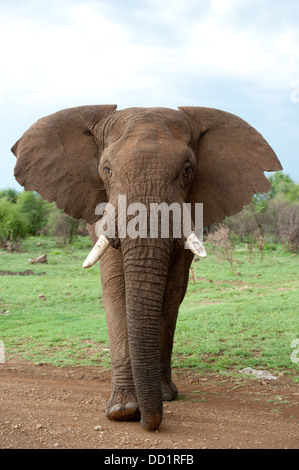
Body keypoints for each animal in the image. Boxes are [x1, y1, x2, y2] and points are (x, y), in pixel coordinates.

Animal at [12, 104, 284, 432]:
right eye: (106, 169)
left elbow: (170, 293)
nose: (149, 422)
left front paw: (160, 398)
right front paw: (123, 410)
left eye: (188, 170)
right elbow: (115, 289)